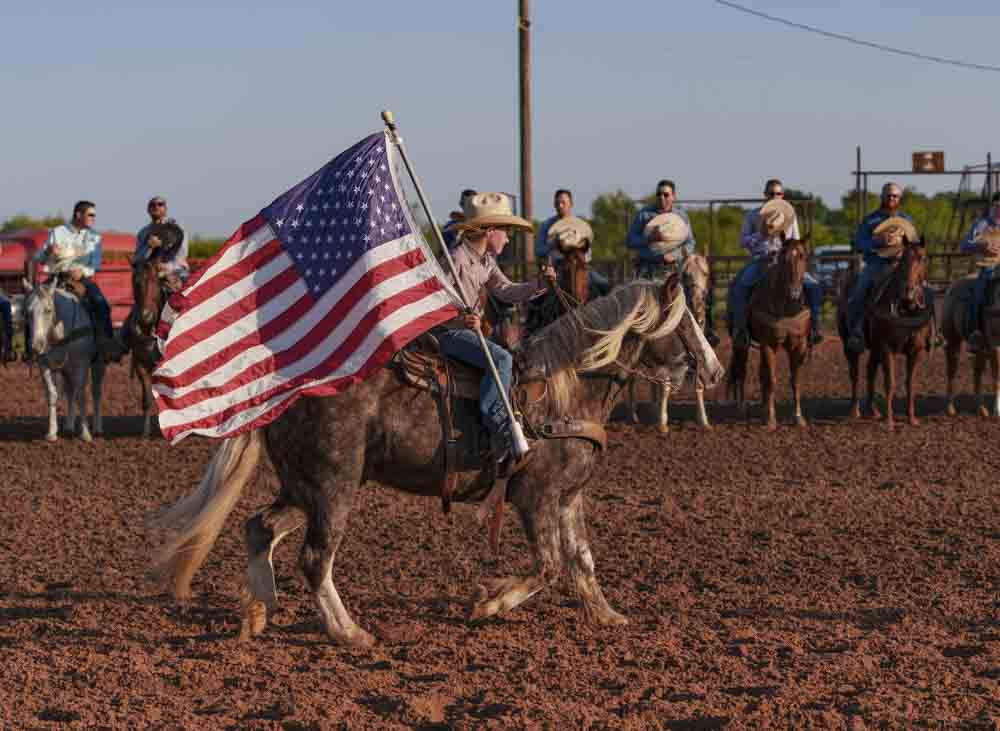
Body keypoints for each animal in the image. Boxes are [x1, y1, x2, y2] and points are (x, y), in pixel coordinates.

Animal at [21, 278, 105, 440]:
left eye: (48, 310)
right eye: (27, 312)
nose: (36, 346)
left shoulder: (81, 366)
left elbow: (81, 396)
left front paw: (85, 434)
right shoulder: (44, 365)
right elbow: (52, 394)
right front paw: (52, 432)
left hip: (98, 364)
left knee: (96, 392)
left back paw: (97, 428)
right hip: (66, 370)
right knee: (70, 392)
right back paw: (69, 426)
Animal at [148, 280, 724, 648]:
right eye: (686, 323)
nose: (715, 369)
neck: (567, 388)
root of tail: (289, 390)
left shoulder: (569, 496)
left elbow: (581, 561)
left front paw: (607, 615)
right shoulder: (534, 497)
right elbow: (549, 565)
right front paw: (488, 604)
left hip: (306, 488)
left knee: (259, 528)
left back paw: (259, 611)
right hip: (333, 488)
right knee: (314, 558)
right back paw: (349, 633)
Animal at [728, 237, 812, 432]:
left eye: (803, 256)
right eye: (783, 258)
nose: (795, 292)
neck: (786, 308)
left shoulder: (799, 345)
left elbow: (795, 380)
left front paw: (799, 418)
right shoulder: (769, 345)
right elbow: (772, 380)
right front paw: (771, 420)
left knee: (760, 373)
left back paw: (762, 406)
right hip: (740, 343)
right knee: (741, 370)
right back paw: (742, 407)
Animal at [836, 242, 936, 428]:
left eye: (923, 258)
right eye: (902, 259)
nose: (909, 291)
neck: (906, 309)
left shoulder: (916, 350)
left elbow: (910, 383)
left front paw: (912, 419)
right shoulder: (886, 347)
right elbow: (890, 382)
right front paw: (889, 421)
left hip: (875, 348)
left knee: (870, 370)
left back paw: (873, 411)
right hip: (849, 344)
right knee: (854, 374)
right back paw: (855, 411)